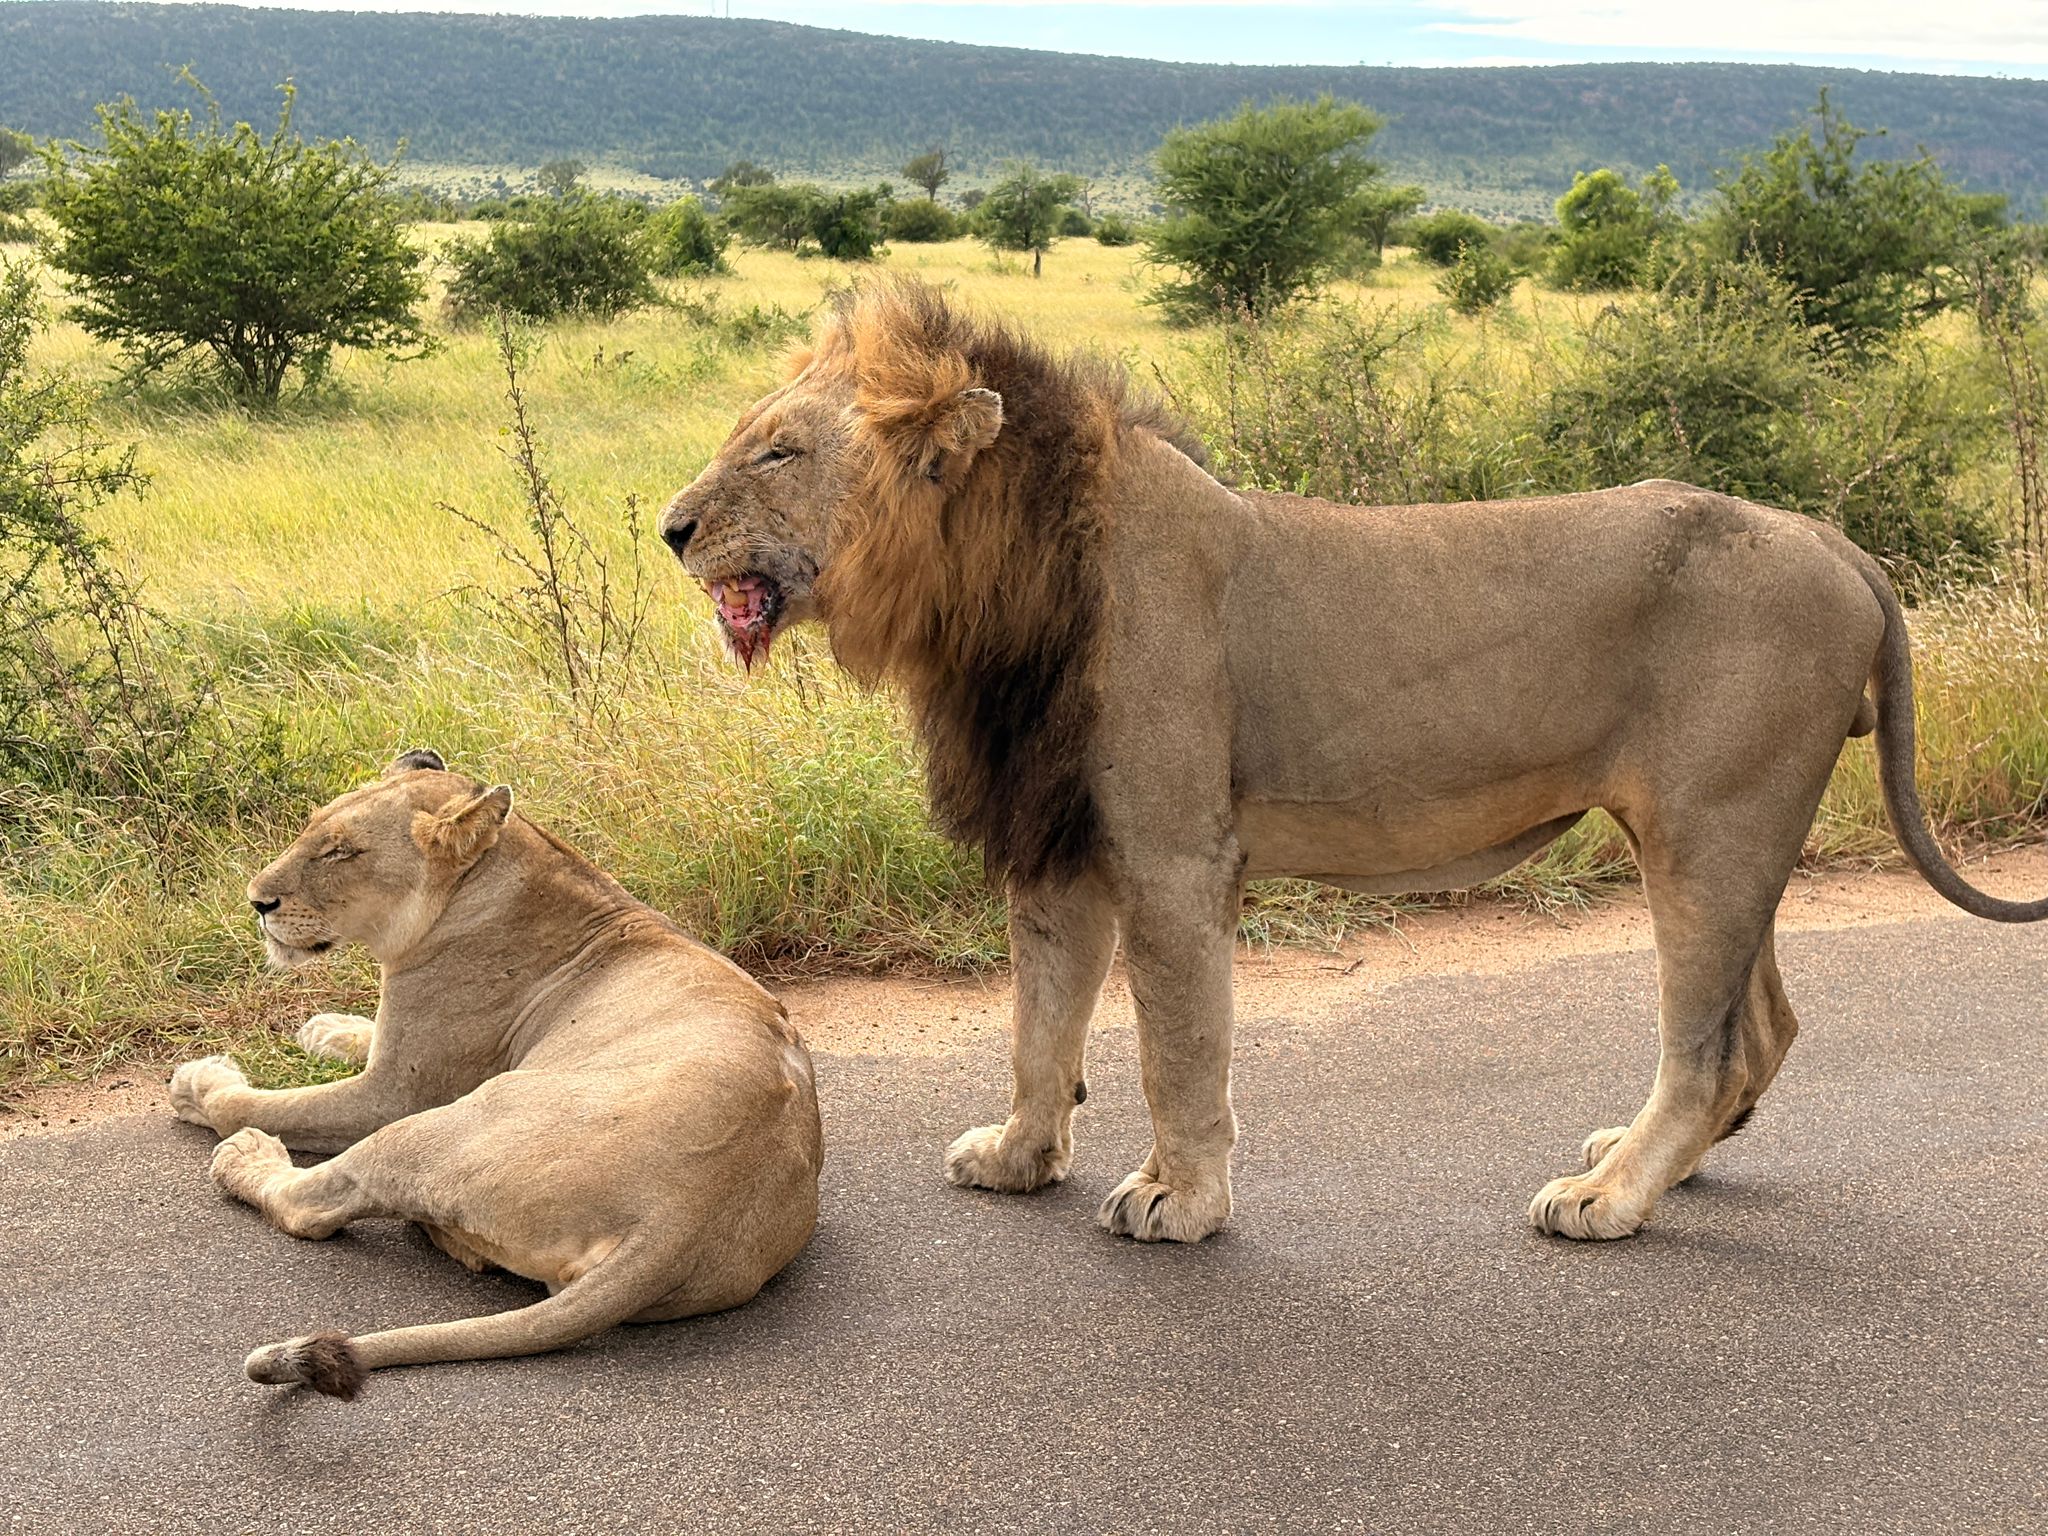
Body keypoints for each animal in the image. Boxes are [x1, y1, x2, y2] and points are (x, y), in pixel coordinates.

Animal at [168, 750, 823, 1397]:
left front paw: (201, 1085)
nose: (256, 902)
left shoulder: (396, 1093)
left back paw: (247, 1157)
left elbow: (264, 1105)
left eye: (341, 852)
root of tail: (680, 1221)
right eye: (311, 828)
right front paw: (326, 1028)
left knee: (311, 1204)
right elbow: (365, 1033)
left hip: (436, 1126)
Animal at [655, 276, 2045, 1246]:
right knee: (1757, 1030)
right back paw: (1638, 1164)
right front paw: (1016, 1155)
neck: (987, 593)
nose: (670, 528)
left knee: (1705, 1045)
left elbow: (1175, 1046)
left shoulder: (1172, 854)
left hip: (1715, 828)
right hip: (1710, 836)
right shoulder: (1058, 845)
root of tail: (1834, 539)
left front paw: (1178, 1202)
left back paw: (1604, 1199)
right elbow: (1036, 1023)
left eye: (777, 450)